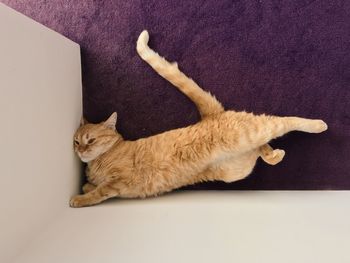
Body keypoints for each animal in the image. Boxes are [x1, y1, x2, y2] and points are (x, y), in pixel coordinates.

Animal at [69, 30, 326, 208]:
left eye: (90, 140)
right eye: (76, 141)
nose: (80, 150)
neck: (100, 161)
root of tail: (209, 116)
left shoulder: (118, 181)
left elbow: (99, 192)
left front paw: (79, 199)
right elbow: (90, 185)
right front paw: (86, 185)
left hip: (251, 131)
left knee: (283, 121)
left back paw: (318, 125)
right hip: (237, 170)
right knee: (261, 148)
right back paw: (274, 156)